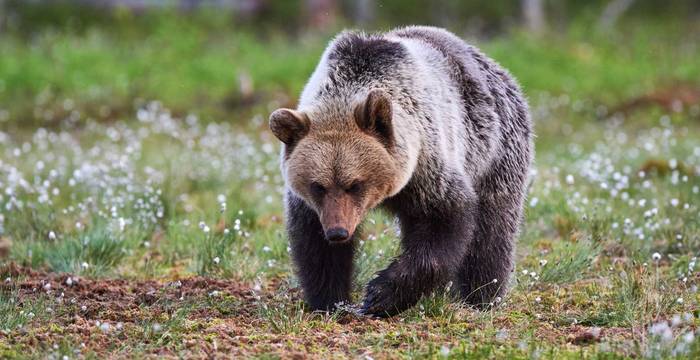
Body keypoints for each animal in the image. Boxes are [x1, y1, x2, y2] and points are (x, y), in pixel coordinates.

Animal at [270, 26, 532, 318]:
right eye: (318, 186)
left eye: (355, 184)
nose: (338, 232)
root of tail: (501, 72)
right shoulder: (314, 205)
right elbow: (315, 245)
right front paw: (330, 301)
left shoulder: (428, 167)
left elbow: (444, 222)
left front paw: (380, 294)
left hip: (495, 151)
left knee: (492, 232)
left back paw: (482, 296)